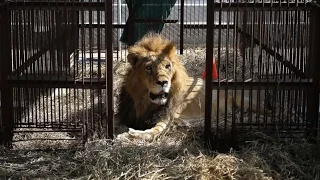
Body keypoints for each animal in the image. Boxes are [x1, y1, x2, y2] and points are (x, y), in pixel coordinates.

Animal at [115, 32, 272, 142]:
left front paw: (127, 135)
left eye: (167, 66)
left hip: (244, 100)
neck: (144, 101)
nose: (163, 82)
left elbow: (152, 132)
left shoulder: (167, 117)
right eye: (148, 67)